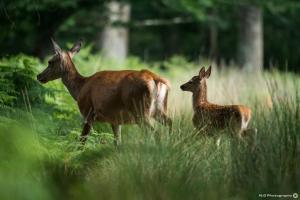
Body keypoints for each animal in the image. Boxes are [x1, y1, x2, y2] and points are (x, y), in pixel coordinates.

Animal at [37, 39, 171, 145]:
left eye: (50, 61)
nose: (39, 76)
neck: (80, 88)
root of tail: (154, 77)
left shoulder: (88, 112)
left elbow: (82, 140)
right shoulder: (115, 120)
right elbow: (117, 143)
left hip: (140, 110)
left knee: (156, 133)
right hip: (159, 109)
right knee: (171, 124)